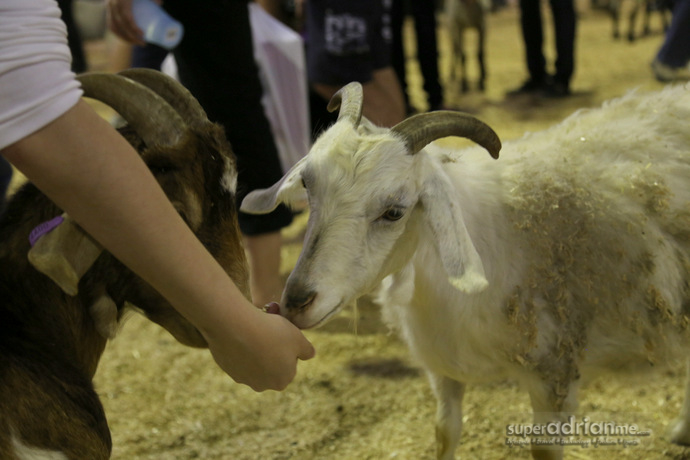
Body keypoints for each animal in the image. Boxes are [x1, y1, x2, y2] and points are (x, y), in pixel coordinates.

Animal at [241, 83, 688, 460]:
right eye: (309, 190)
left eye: (394, 212)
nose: (296, 302)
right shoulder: (441, 367)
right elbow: (445, 432)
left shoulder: (555, 371)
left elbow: (543, 449)